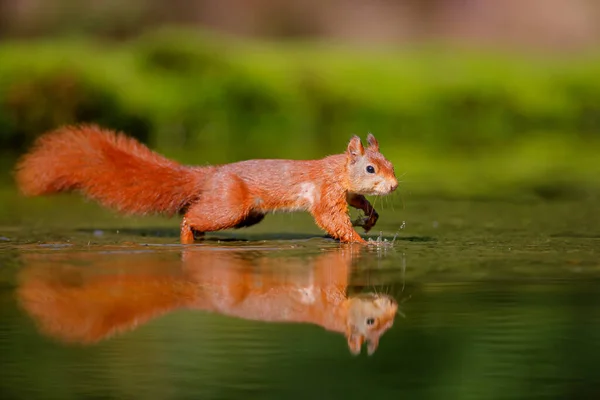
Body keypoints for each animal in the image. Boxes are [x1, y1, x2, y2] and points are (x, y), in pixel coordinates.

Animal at [14, 125, 398, 244]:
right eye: (370, 168)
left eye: (390, 164)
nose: (394, 187)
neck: (336, 169)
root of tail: (209, 174)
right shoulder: (324, 190)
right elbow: (330, 219)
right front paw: (361, 242)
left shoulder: (343, 190)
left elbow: (356, 202)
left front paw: (370, 217)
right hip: (231, 206)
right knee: (191, 216)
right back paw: (188, 235)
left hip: (246, 214)